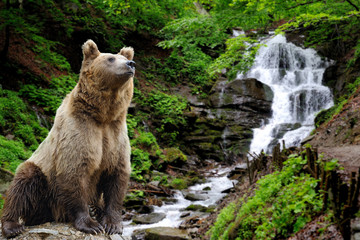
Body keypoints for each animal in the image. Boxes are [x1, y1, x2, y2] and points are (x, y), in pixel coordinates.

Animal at [0, 39, 135, 238]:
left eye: (124, 57)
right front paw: (90, 224)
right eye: (110, 58)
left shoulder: (115, 135)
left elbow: (117, 175)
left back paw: (96, 209)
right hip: (43, 181)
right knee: (23, 184)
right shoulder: (78, 130)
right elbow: (74, 171)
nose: (130, 64)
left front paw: (112, 223)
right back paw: (12, 225)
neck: (103, 115)